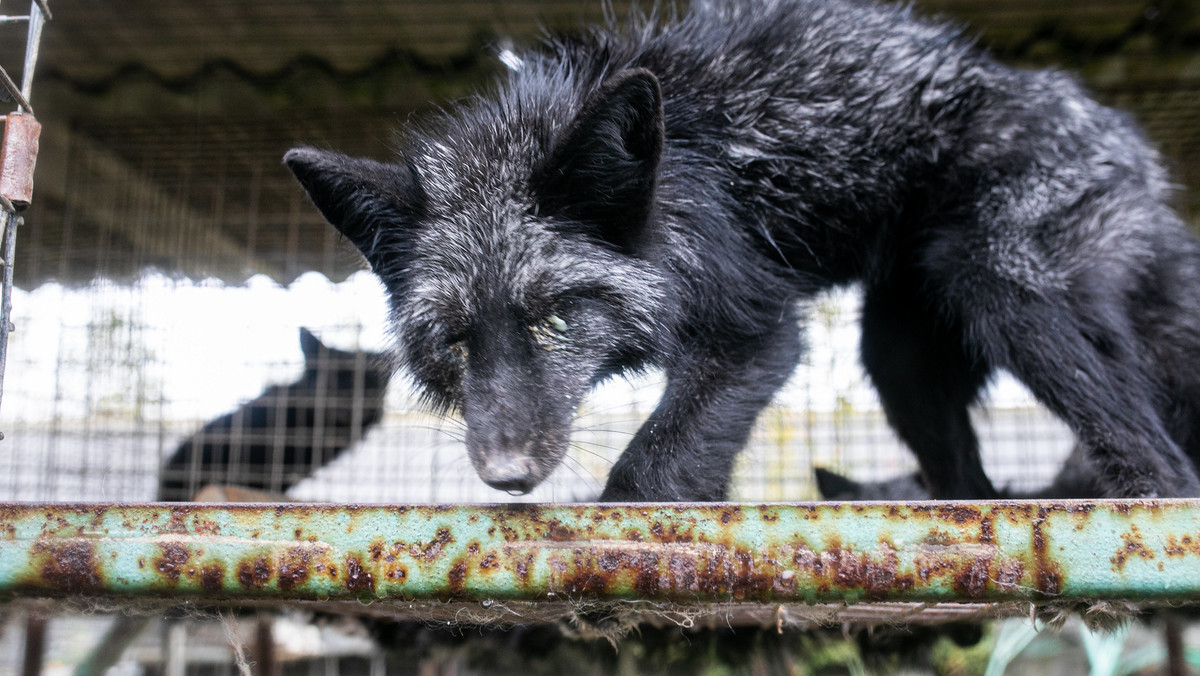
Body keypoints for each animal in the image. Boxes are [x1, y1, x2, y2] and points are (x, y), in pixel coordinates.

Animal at [285, 0, 1200, 499]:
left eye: (553, 322)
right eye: (454, 342)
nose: (507, 474)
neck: (675, 179)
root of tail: (1133, 145)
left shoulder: (753, 321)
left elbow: (655, 467)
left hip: (1001, 287)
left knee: (1163, 465)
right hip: (899, 354)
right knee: (966, 477)